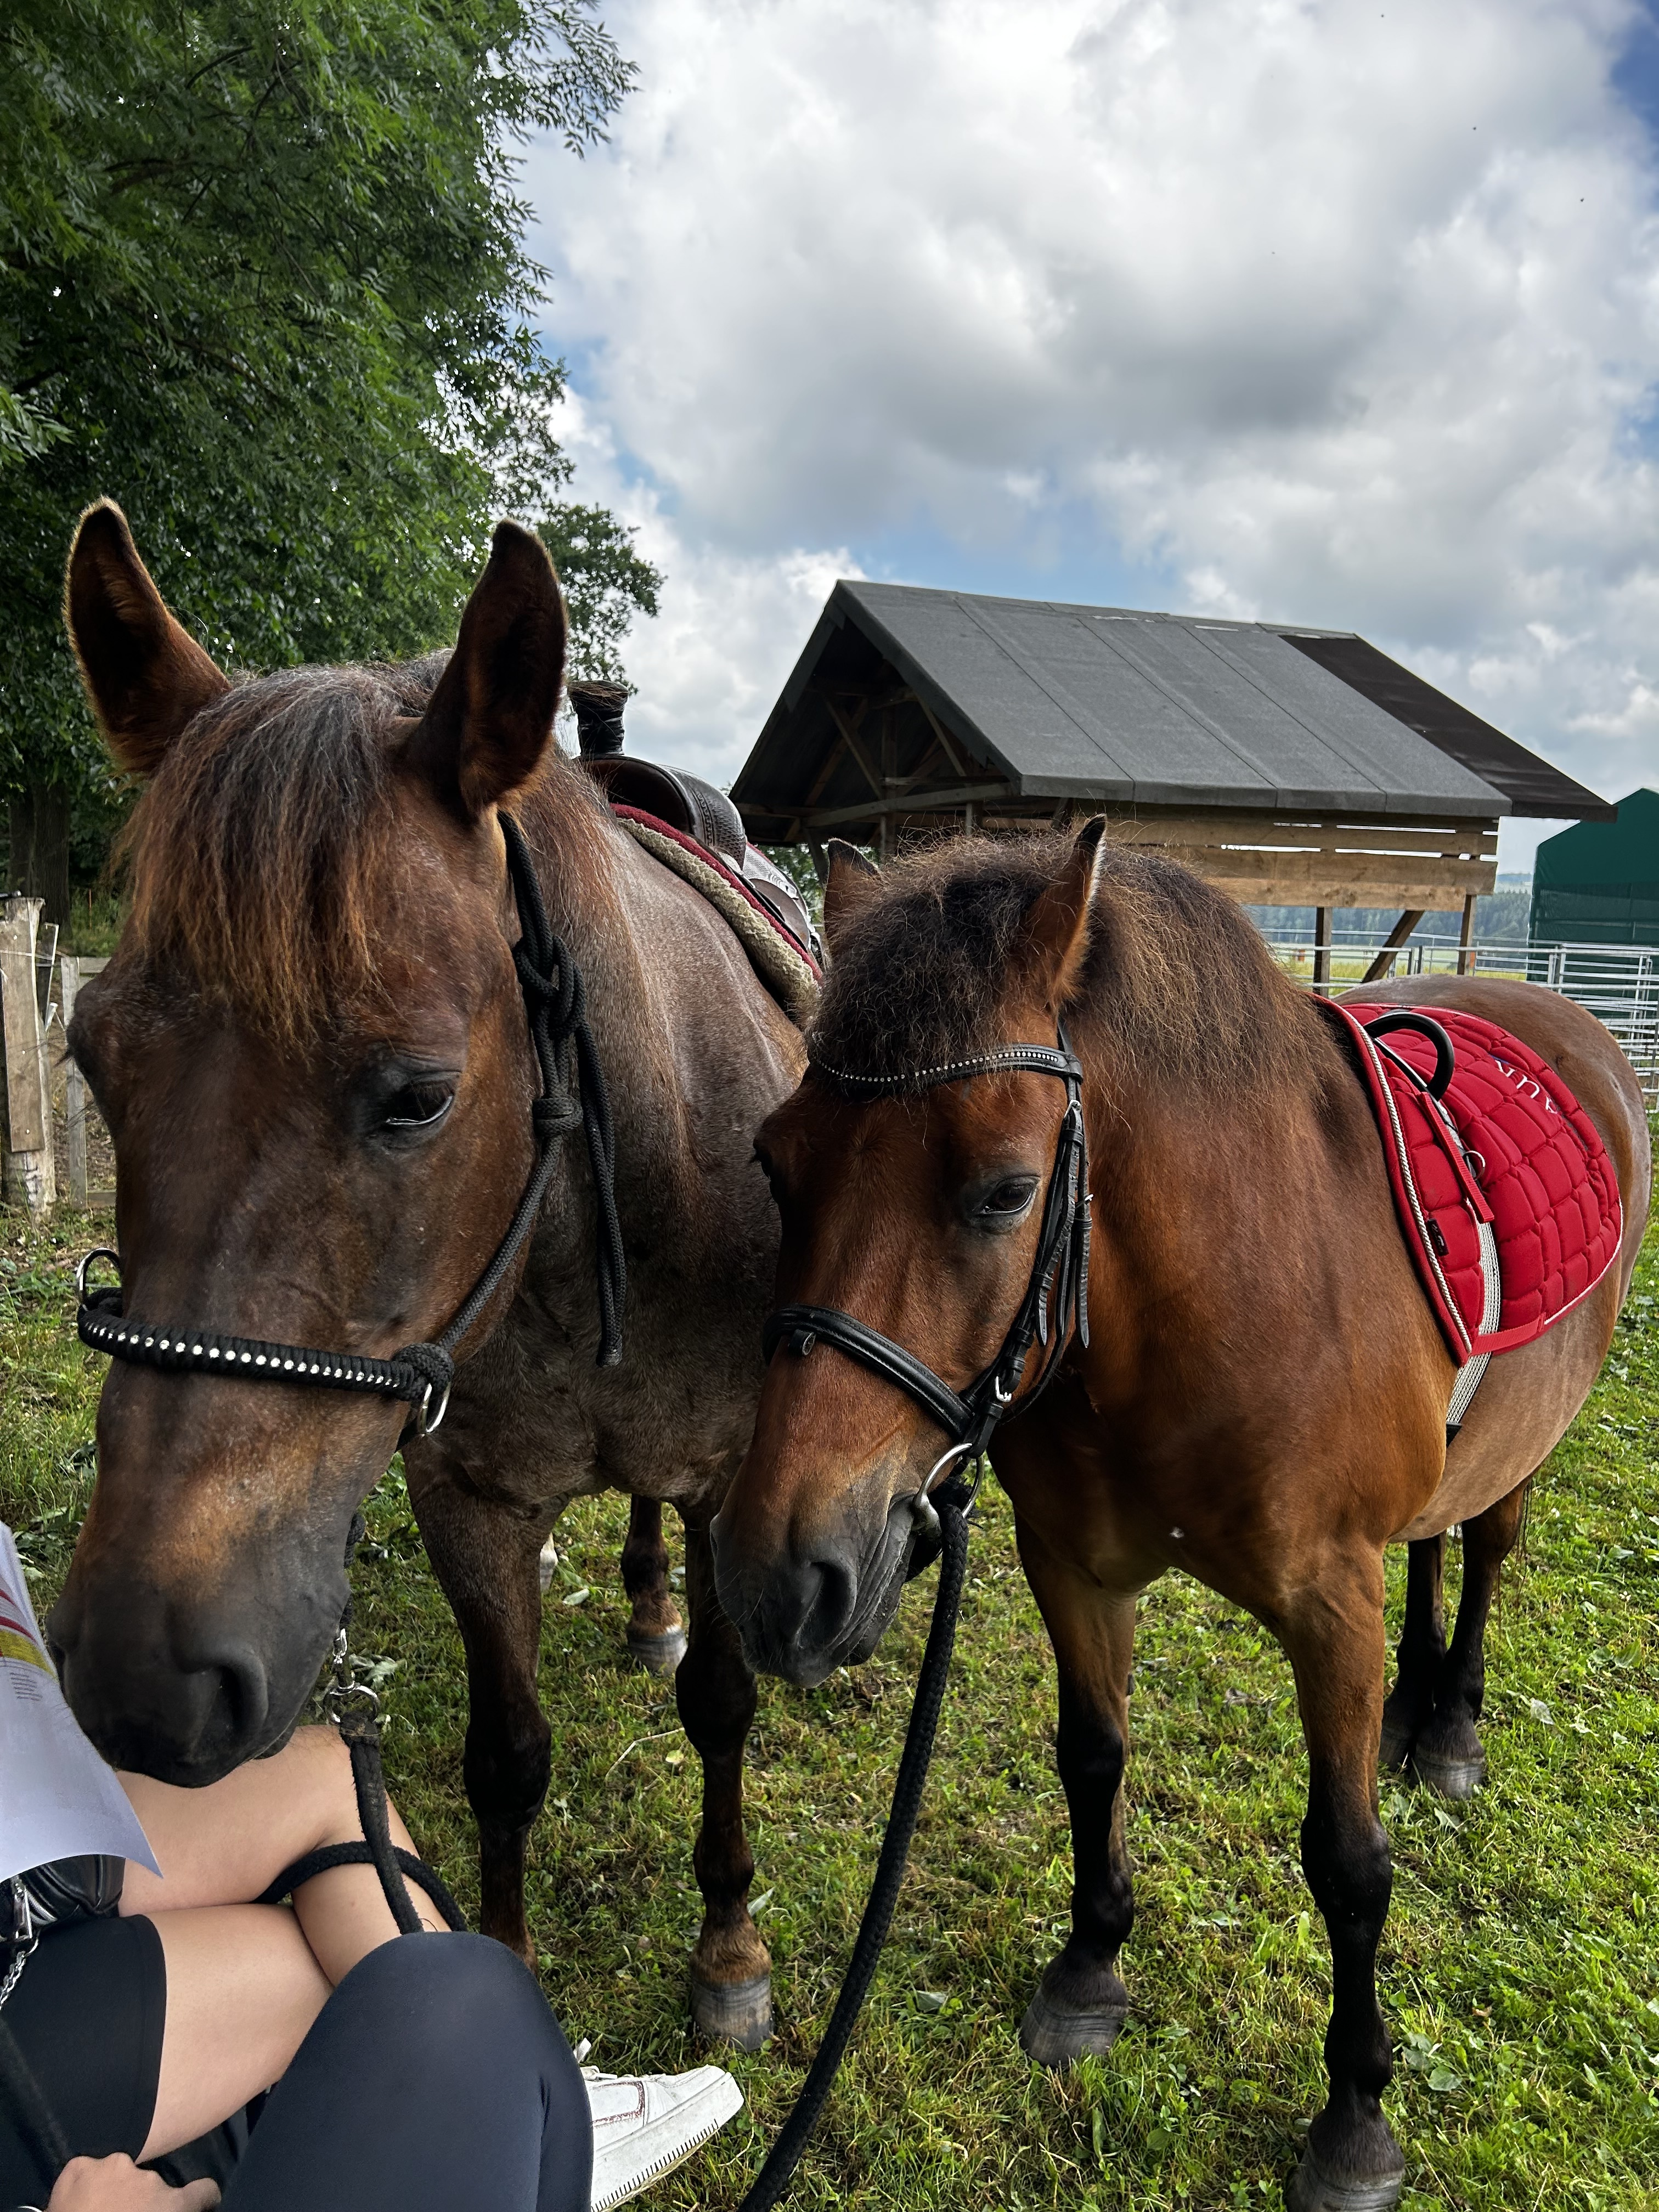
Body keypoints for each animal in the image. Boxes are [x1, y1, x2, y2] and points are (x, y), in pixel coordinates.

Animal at [50, 509, 800, 2044]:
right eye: (95, 1057)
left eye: (417, 1097)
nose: (147, 1681)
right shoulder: (471, 1505)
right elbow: (506, 1754)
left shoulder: (725, 1474)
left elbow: (722, 1704)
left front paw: (729, 1949)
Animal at [712, 822, 1654, 2203]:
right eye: (778, 1165)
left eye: (1004, 1192)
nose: (778, 1584)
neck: (1197, 1304)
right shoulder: (1072, 1564)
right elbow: (1093, 1757)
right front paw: (1089, 1970)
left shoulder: (1331, 1604)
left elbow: (1349, 1863)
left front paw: (1356, 2115)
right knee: (1437, 1535)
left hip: (1524, 1447)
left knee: (1482, 1550)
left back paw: (1453, 1724)